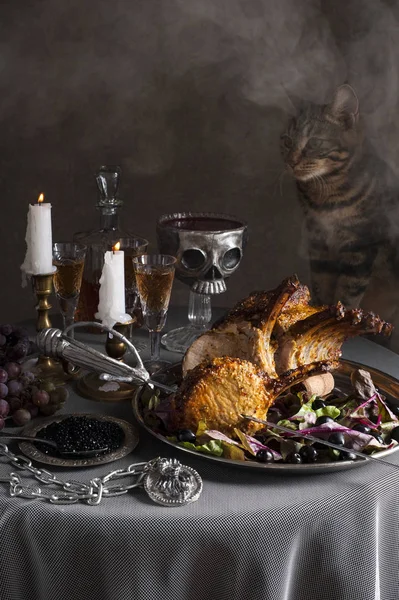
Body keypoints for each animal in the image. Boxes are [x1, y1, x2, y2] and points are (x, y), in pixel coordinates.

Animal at [282, 83, 399, 328]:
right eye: (286, 142)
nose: (290, 161)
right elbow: (321, 286)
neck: (325, 197)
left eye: (314, 143)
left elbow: (348, 292)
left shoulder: (361, 245)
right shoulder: (318, 244)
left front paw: (341, 318)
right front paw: (315, 314)